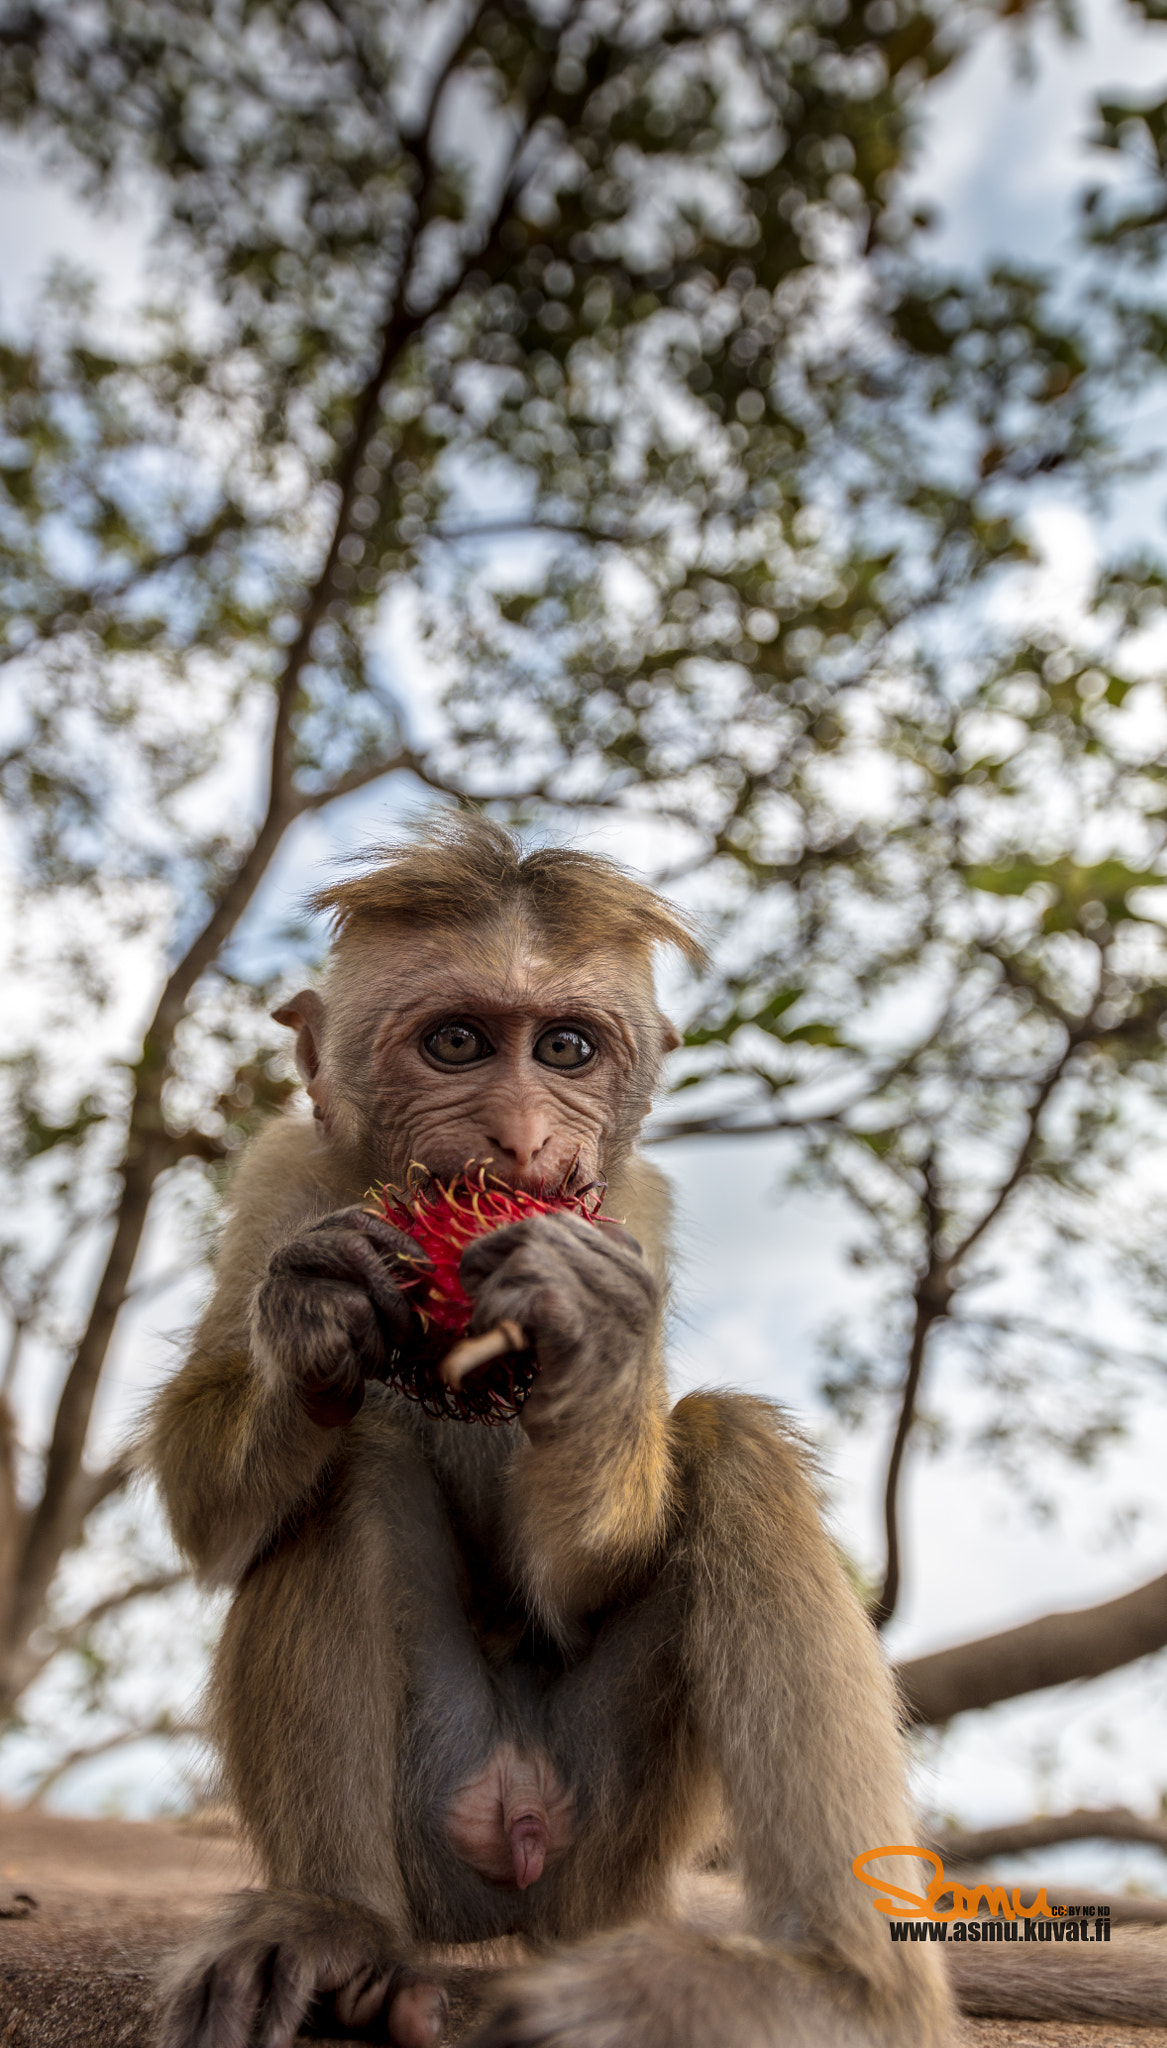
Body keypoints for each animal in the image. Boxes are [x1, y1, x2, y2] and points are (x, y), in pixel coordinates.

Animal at [147, 815, 954, 2048]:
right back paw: (337, 1926)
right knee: (346, 1459)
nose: (522, 1137)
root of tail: (518, 1845)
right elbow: (208, 1513)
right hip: (437, 1833)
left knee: (733, 1443)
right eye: (458, 1042)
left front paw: (603, 1333)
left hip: (610, 1842)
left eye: (567, 1049)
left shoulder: (636, 1212)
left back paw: (833, 1986)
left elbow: (586, 1573)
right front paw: (312, 1311)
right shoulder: (283, 1173)